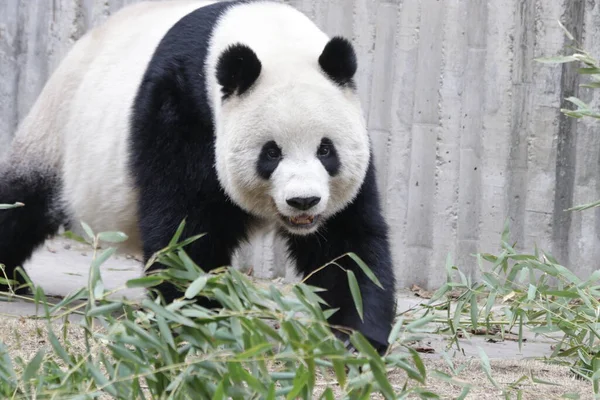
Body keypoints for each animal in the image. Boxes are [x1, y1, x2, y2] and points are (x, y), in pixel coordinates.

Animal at [2, 0, 400, 352]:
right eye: (271, 153)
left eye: (325, 150)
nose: (303, 201)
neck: (267, 33)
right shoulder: (181, 106)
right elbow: (185, 230)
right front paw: (199, 319)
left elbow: (347, 246)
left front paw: (356, 337)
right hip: (58, 132)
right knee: (22, 203)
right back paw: (12, 278)